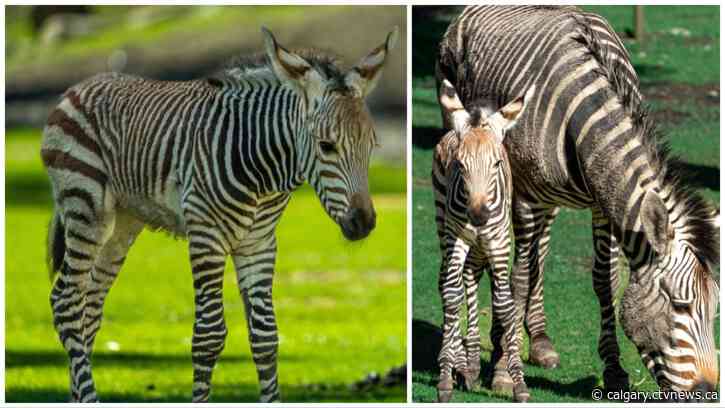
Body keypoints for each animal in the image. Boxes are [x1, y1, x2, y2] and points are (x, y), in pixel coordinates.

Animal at [41, 26, 398, 402]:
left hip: (122, 224)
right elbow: (208, 337)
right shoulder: (206, 235)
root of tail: (80, 86)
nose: (363, 222)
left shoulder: (258, 244)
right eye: (326, 146)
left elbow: (266, 338)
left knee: (89, 307)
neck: (261, 167)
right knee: (66, 301)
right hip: (85, 204)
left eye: (371, 147)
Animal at [432, 79, 535, 402]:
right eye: (460, 164)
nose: (478, 216)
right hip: (445, 229)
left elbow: (504, 304)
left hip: (483, 247)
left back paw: (472, 365)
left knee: (472, 278)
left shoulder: (499, 245)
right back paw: (462, 363)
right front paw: (445, 378)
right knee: (448, 284)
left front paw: (518, 382)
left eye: (497, 163)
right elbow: (452, 295)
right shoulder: (456, 238)